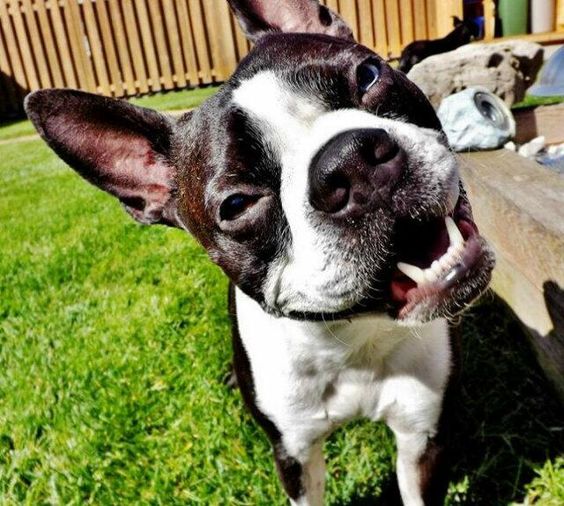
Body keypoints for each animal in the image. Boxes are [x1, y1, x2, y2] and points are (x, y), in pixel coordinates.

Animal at [25, 0, 494, 504]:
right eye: (236, 205)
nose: (349, 160)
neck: (352, 340)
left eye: (368, 75)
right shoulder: (294, 456)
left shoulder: (422, 438)